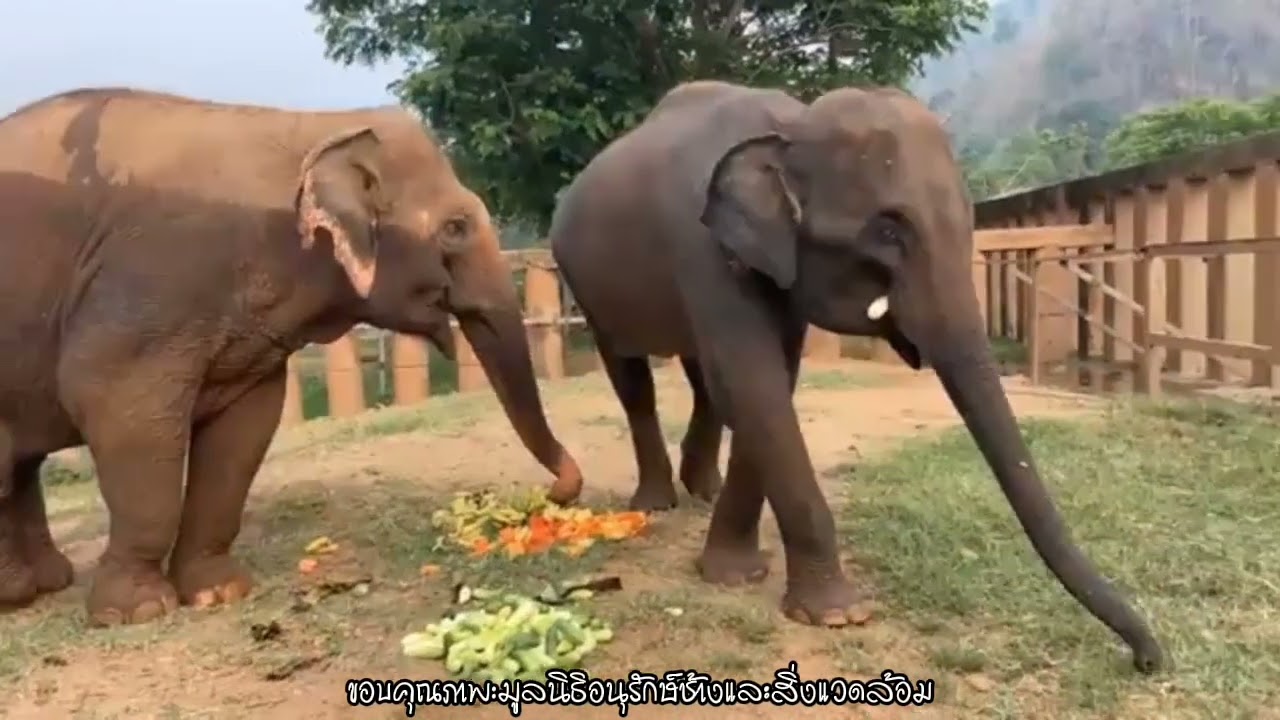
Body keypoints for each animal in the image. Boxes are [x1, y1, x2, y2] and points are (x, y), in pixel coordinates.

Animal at [0, 87, 584, 625]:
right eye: (455, 228)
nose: (557, 492)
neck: (315, 130)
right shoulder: (147, 282)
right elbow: (116, 405)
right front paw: (137, 612)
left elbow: (245, 428)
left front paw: (220, 594)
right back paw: (19, 594)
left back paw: (43, 583)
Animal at [548, 80, 1163, 672]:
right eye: (888, 232)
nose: (1147, 659)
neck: (791, 122)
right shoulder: (700, 246)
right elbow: (753, 383)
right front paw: (837, 614)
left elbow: (769, 382)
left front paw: (735, 574)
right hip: (582, 278)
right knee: (632, 375)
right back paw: (655, 504)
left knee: (703, 379)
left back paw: (703, 489)